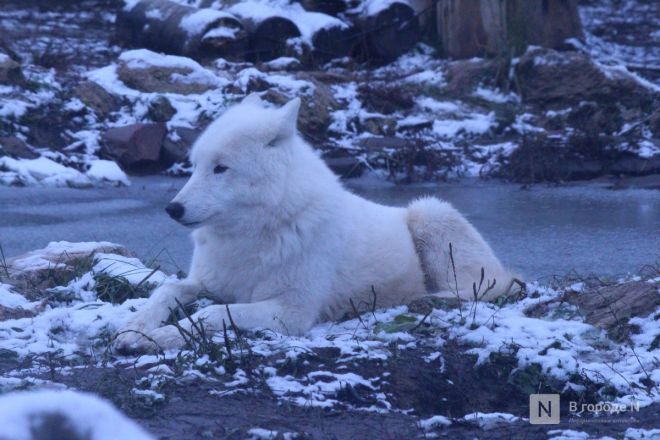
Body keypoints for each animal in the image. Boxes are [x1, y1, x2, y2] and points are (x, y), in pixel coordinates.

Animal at [114, 94, 516, 352]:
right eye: (195, 166)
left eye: (220, 168)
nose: (173, 209)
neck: (255, 236)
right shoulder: (206, 282)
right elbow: (167, 290)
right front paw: (134, 328)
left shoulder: (291, 312)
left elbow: (211, 313)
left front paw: (157, 339)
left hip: (428, 213)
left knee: (478, 289)